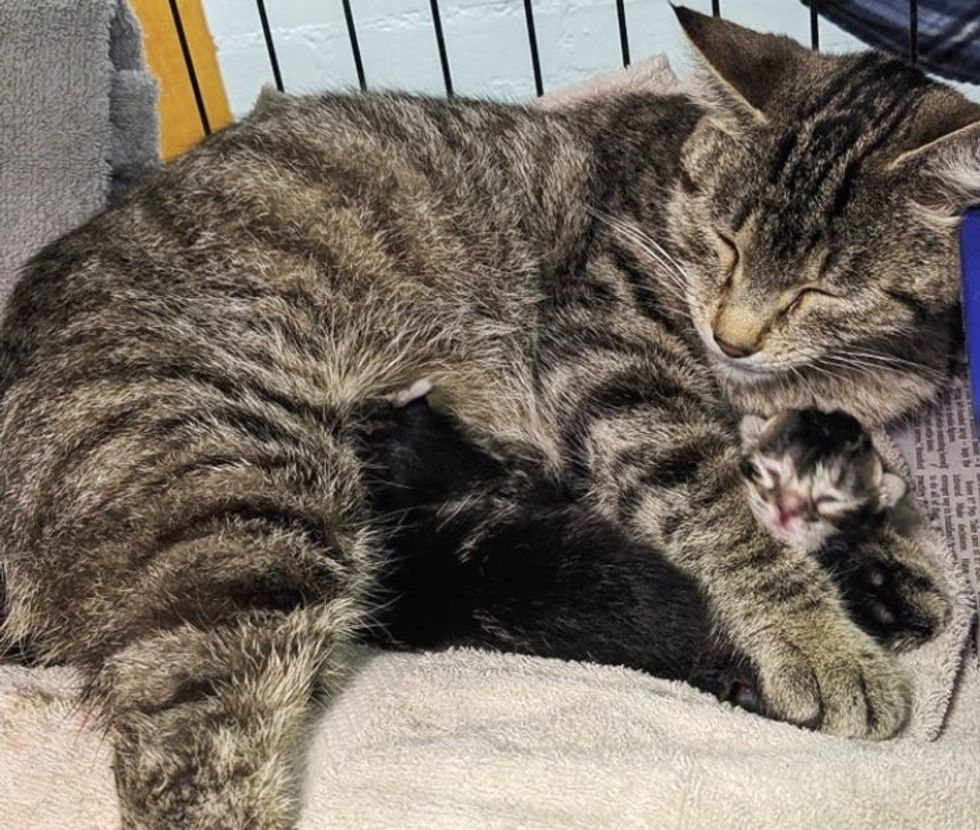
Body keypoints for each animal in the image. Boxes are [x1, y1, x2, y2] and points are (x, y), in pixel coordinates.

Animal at [0, 8, 972, 830]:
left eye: (823, 288)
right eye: (725, 244)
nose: (730, 336)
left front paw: (886, 567)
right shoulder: (610, 360)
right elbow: (715, 503)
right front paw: (821, 638)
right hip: (240, 499)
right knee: (188, 760)